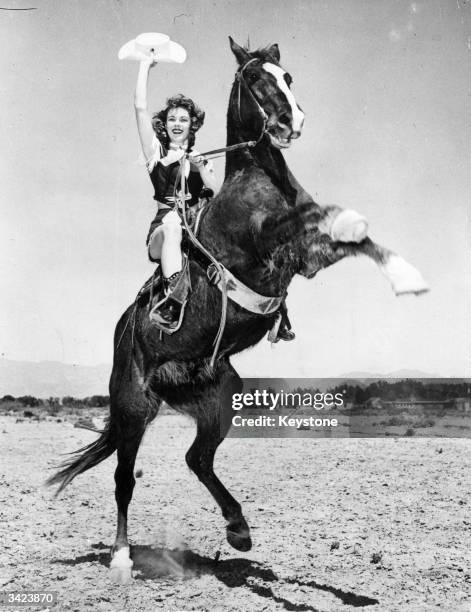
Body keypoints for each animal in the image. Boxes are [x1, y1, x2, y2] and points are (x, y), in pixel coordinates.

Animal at [47, 38, 428, 584]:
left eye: (287, 75)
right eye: (254, 80)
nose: (293, 122)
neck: (261, 181)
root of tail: (125, 331)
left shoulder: (309, 257)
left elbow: (356, 238)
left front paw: (407, 277)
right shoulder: (265, 245)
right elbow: (321, 223)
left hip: (219, 397)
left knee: (197, 459)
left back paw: (239, 529)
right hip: (134, 407)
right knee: (124, 477)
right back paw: (121, 558)